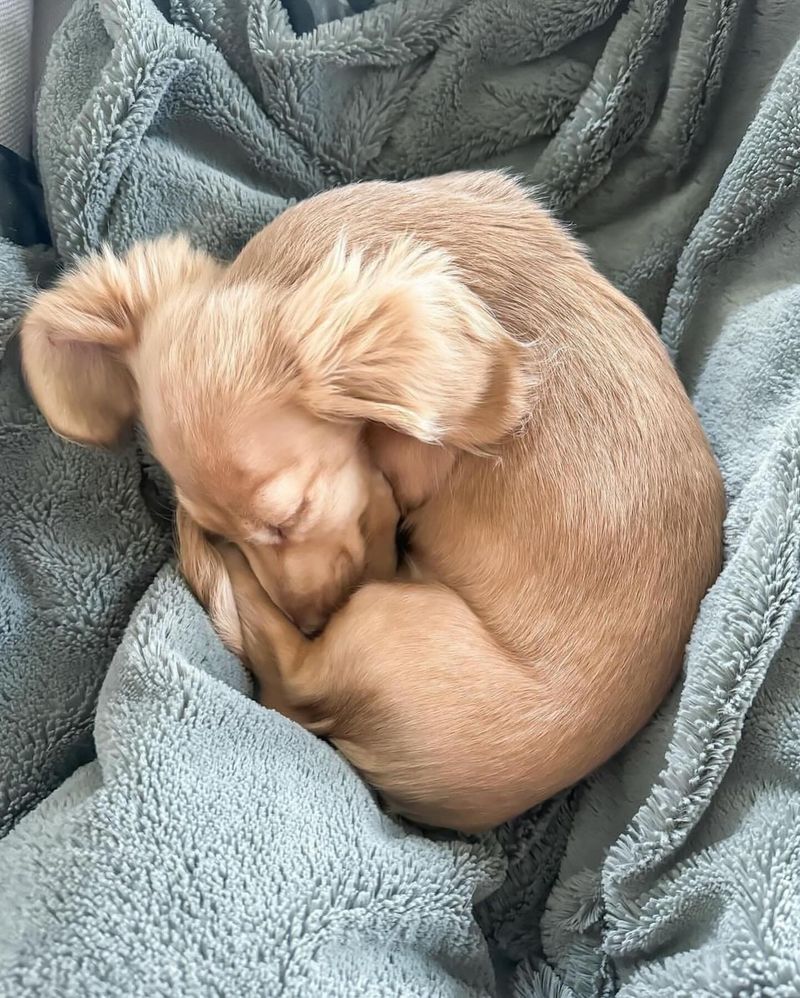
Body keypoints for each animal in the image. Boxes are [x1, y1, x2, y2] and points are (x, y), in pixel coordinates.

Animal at [18, 174, 724, 836]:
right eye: (241, 528)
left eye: (291, 516)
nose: (311, 616)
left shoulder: (397, 478)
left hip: (377, 620)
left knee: (293, 675)